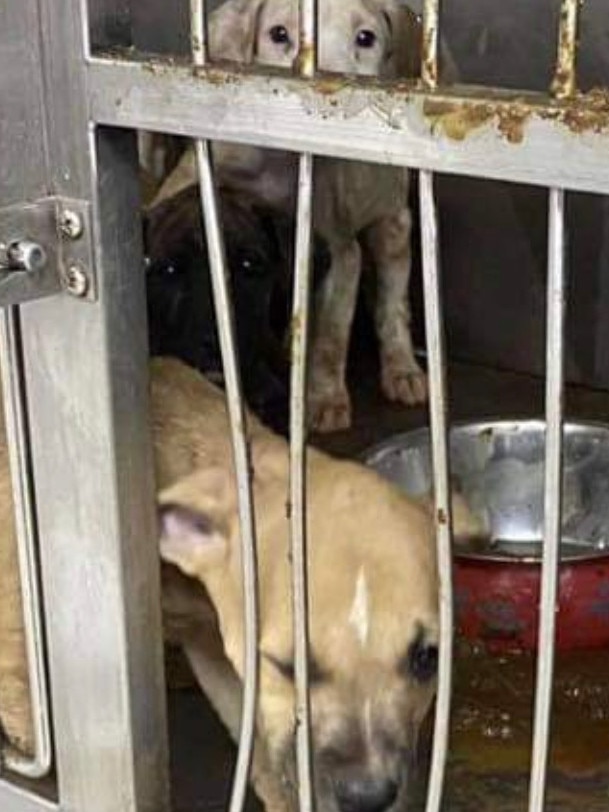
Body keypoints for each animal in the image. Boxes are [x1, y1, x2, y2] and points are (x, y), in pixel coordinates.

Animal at [151, 0, 428, 434]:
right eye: (278, 34)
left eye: (365, 38)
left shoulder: (340, 254)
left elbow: (331, 337)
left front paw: (324, 399)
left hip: (392, 223)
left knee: (392, 302)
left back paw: (403, 369)